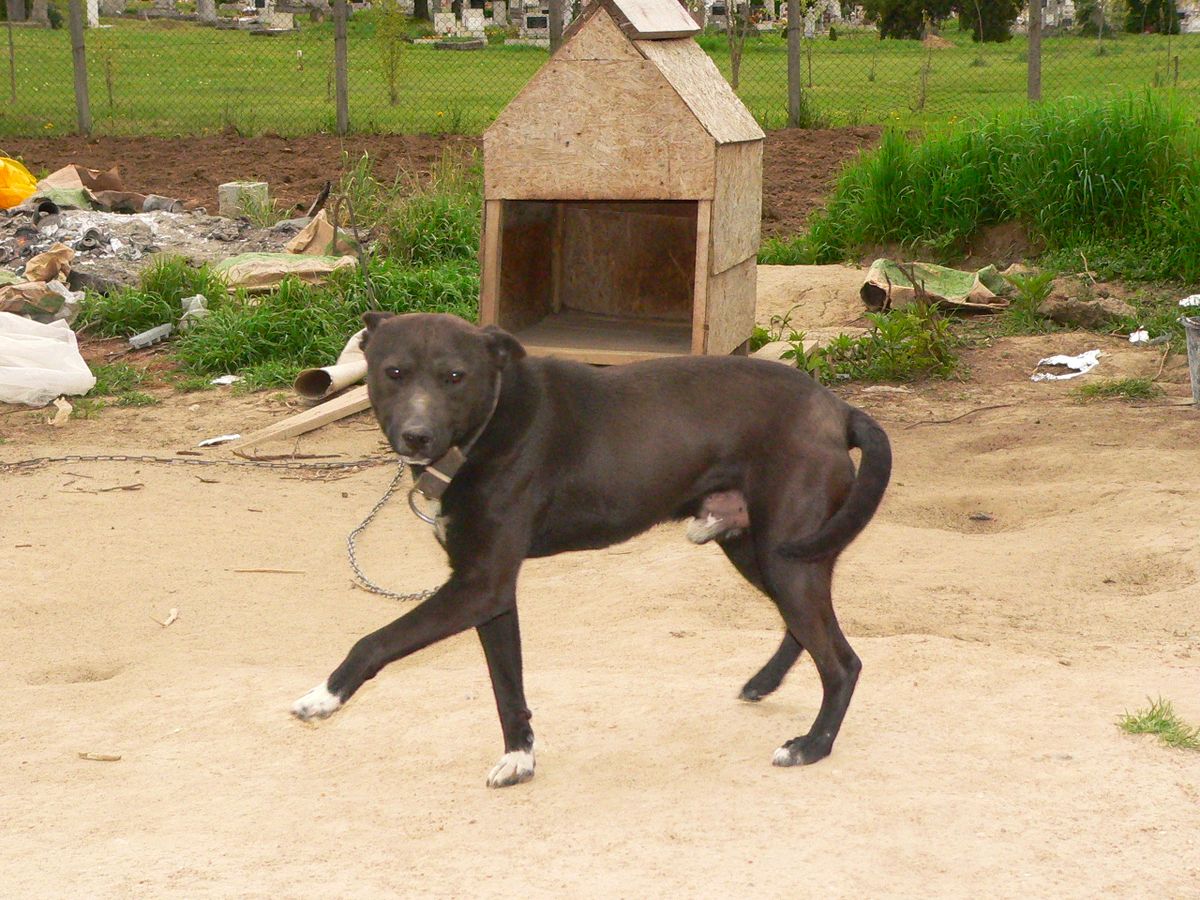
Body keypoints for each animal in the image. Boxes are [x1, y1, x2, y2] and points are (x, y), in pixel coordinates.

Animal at [291, 312, 892, 787]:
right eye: (393, 373)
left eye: (454, 377)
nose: (416, 436)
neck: (491, 423)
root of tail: (838, 409)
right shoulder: (491, 594)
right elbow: (508, 687)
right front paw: (519, 758)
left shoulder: (478, 586)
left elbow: (373, 641)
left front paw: (324, 696)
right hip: (757, 550)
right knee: (805, 629)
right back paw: (764, 683)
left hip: (783, 554)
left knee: (843, 661)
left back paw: (811, 746)